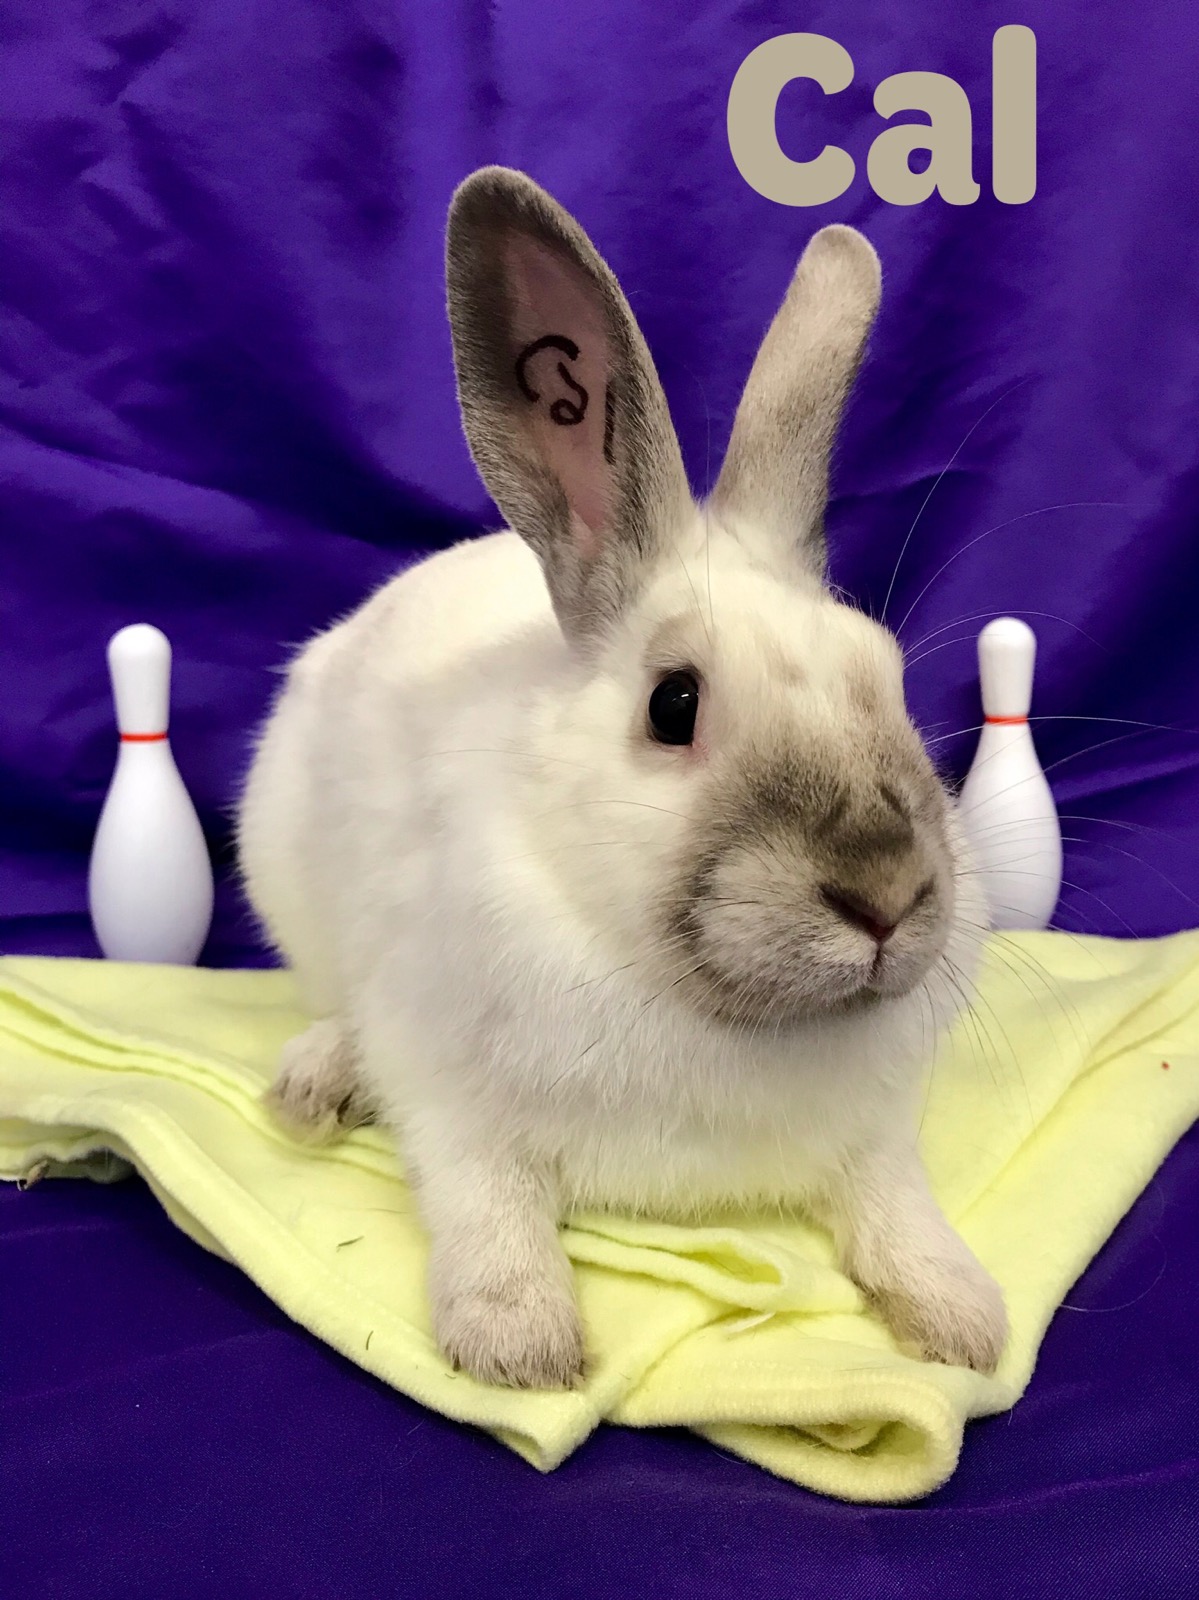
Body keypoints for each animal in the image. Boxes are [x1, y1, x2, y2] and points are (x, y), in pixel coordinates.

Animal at [237, 166, 1006, 1390]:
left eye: (887, 682)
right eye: (673, 705)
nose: (884, 894)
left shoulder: (877, 1137)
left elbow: (897, 1210)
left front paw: (963, 1321)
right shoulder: (450, 1100)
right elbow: (485, 1207)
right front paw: (519, 1345)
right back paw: (315, 1082)